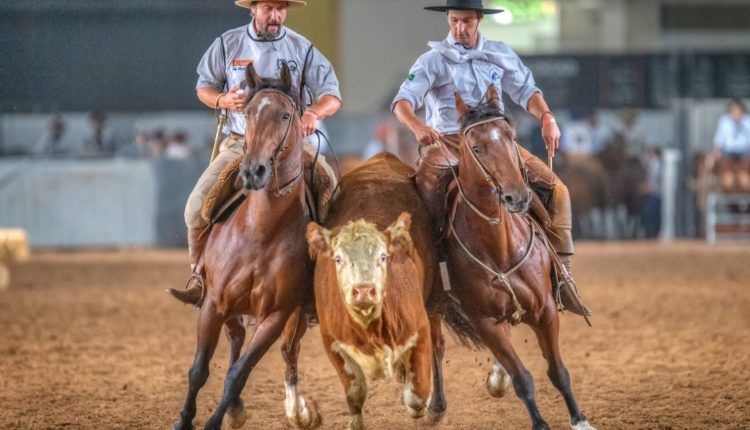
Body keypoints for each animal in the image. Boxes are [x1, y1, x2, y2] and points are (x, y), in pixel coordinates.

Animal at [173, 63, 320, 430]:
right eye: (250, 112)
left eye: (286, 115)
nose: (254, 171)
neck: (261, 232)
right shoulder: (214, 302)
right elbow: (199, 370)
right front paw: (184, 420)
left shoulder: (276, 315)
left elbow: (238, 375)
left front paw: (215, 420)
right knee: (236, 336)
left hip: (295, 316)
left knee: (288, 352)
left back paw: (295, 410)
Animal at [306, 154, 444, 430]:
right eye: (338, 258)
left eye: (383, 256)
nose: (363, 291)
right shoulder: (332, 342)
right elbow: (355, 390)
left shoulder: (419, 328)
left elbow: (417, 393)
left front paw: (417, 404)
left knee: (437, 346)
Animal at [440, 85, 600, 430]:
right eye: (476, 147)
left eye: (511, 138)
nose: (519, 197)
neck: (500, 249)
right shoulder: (486, 323)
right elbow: (523, 379)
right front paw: (539, 423)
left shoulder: (545, 310)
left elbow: (558, 372)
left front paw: (579, 419)